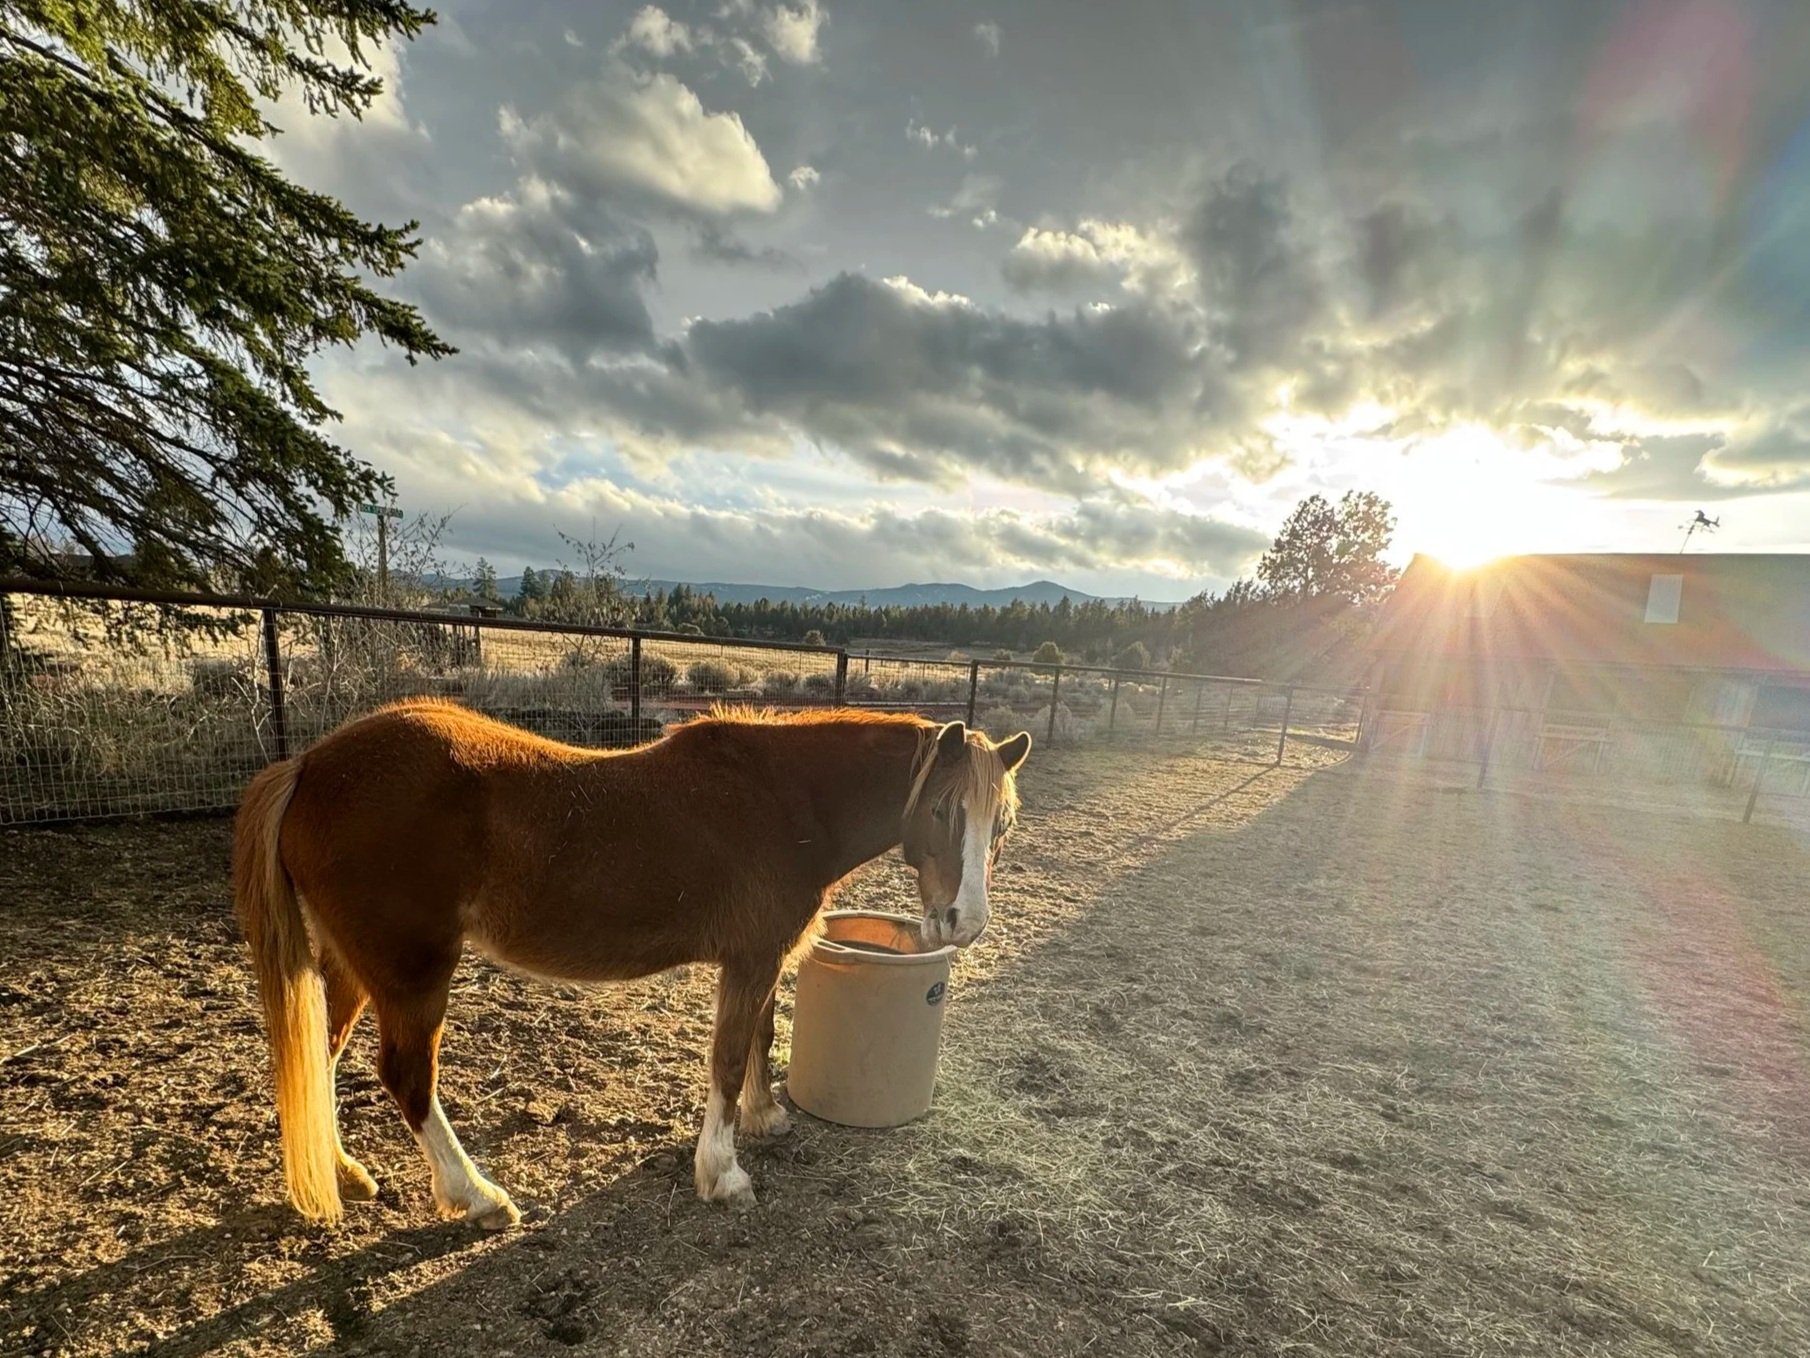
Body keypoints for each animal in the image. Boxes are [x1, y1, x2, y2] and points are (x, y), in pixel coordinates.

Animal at [232, 699, 1031, 1228]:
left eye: (1002, 823)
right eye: (943, 812)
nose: (964, 924)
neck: (783, 801)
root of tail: (309, 764)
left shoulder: (763, 957)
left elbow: (762, 1037)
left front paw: (765, 1118)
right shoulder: (750, 958)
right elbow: (728, 1057)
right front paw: (722, 1173)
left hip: (350, 968)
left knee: (321, 1054)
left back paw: (343, 1171)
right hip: (413, 971)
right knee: (406, 1077)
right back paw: (478, 1197)